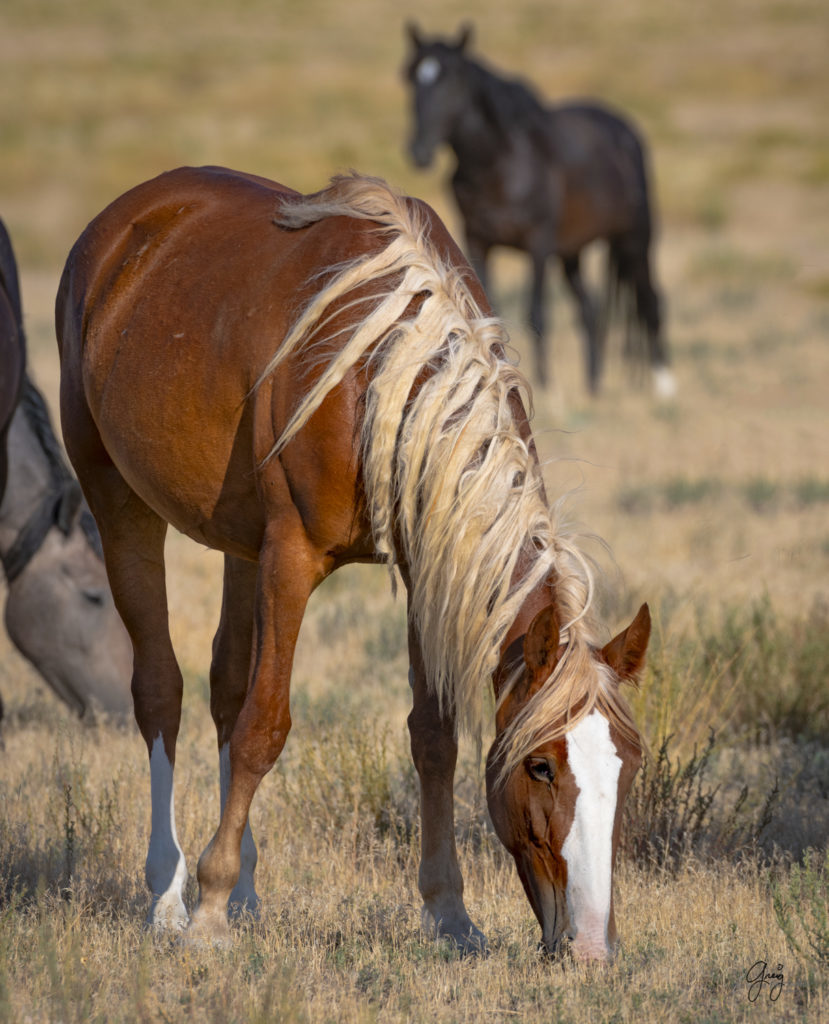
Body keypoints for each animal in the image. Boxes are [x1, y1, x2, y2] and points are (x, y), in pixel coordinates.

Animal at [58, 165, 650, 958]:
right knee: (161, 692)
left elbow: (433, 738)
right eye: (541, 766)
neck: (383, 376)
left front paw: (448, 911)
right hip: (119, 501)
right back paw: (169, 894)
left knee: (223, 686)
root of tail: (123, 221)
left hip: (238, 543)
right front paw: (208, 909)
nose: (590, 947)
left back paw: (246, 889)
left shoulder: (426, 566)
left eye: (627, 767)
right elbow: (264, 728)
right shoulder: (290, 556)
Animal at [403, 23, 675, 399]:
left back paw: (665, 386)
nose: (419, 152)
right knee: (590, 310)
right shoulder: (478, 241)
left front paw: (545, 385)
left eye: (454, 79)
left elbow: (537, 312)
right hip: (572, 254)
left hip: (633, 239)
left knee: (650, 300)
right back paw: (593, 387)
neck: (501, 164)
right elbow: (486, 311)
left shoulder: (538, 245)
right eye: (411, 78)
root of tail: (625, 131)